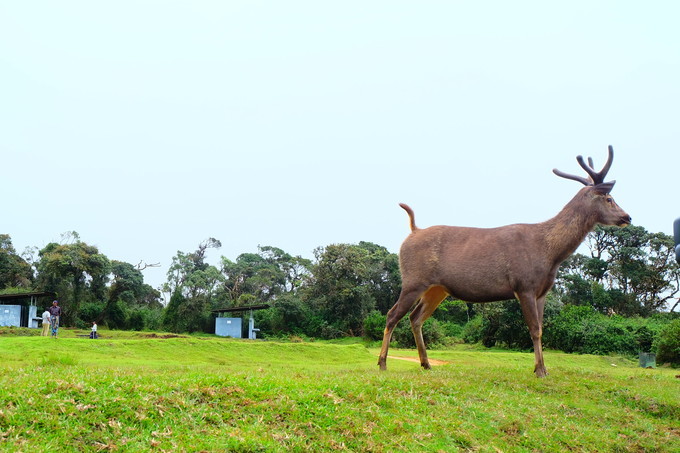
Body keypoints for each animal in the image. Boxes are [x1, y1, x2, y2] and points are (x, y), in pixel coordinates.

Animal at [380, 147, 628, 376]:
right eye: (609, 198)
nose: (627, 217)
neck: (550, 253)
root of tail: (413, 231)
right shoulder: (524, 284)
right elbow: (534, 329)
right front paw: (540, 370)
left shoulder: (542, 291)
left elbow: (541, 329)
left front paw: (542, 369)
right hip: (414, 279)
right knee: (392, 315)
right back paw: (382, 363)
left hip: (437, 289)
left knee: (415, 318)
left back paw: (426, 363)